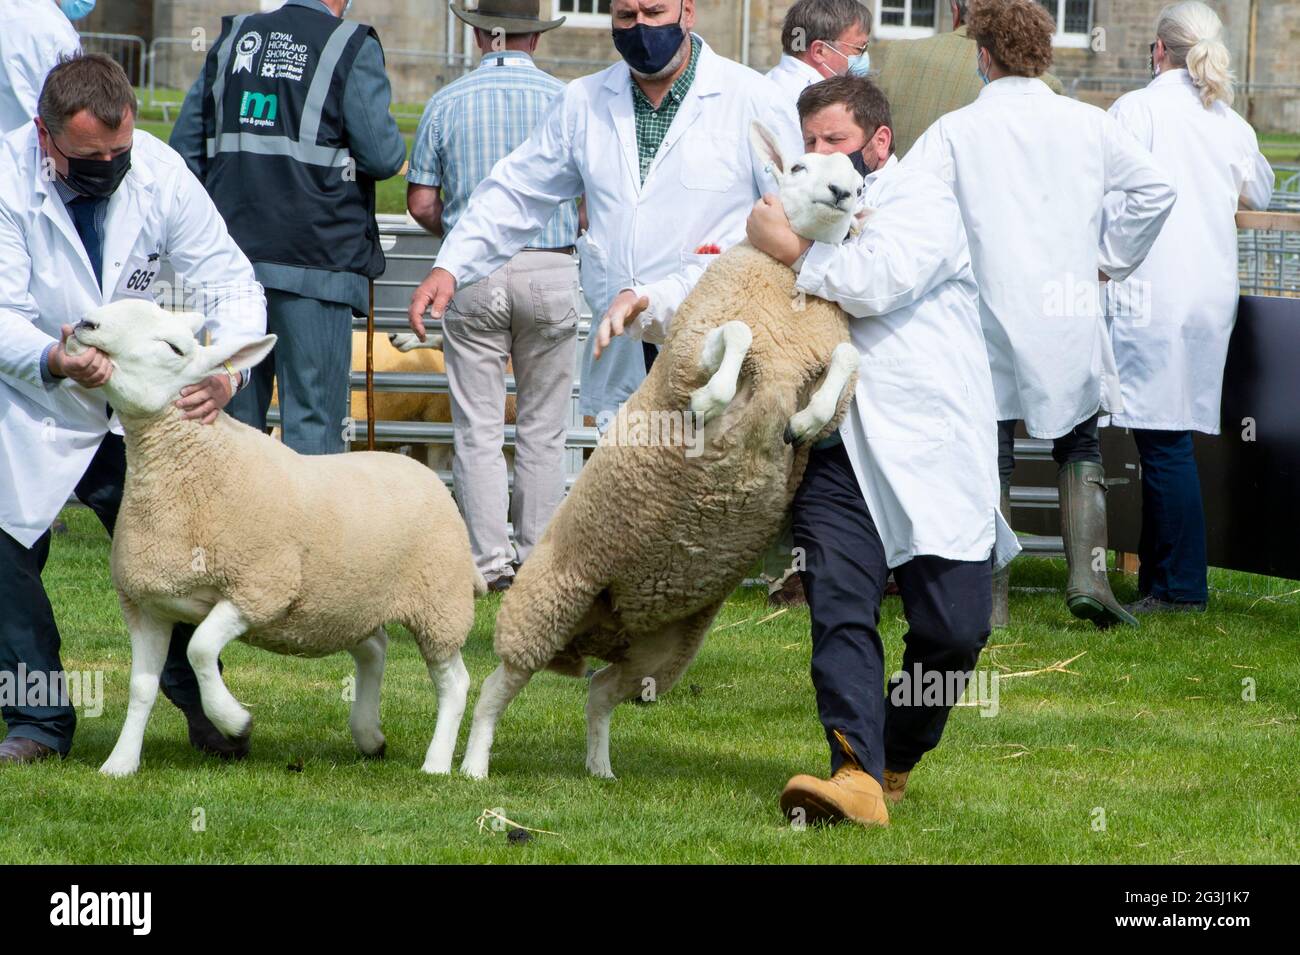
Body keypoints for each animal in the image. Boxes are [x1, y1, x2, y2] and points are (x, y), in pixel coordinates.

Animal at [65, 298, 483, 779]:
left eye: (173, 348)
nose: (86, 324)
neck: (196, 466)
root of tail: (426, 475)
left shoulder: (259, 589)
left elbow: (200, 649)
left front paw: (234, 720)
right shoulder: (146, 604)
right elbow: (142, 688)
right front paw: (120, 763)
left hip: (439, 603)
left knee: (454, 681)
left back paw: (437, 762)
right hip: (345, 599)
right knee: (374, 649)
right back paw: (369, 735)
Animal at [462, 119, 868, 779]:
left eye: (860, 183)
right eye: (799, 167)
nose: (843, 194)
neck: (788, 288)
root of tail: (600, 629)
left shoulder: (814, 353)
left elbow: (847, 358)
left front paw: (804, 421)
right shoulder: (693, 347)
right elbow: (738, 334)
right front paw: (710, 402)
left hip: (663, 649)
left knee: (601, 690)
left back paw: (600, 770)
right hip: (545, 602)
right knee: (498, 687)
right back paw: (466, 766)